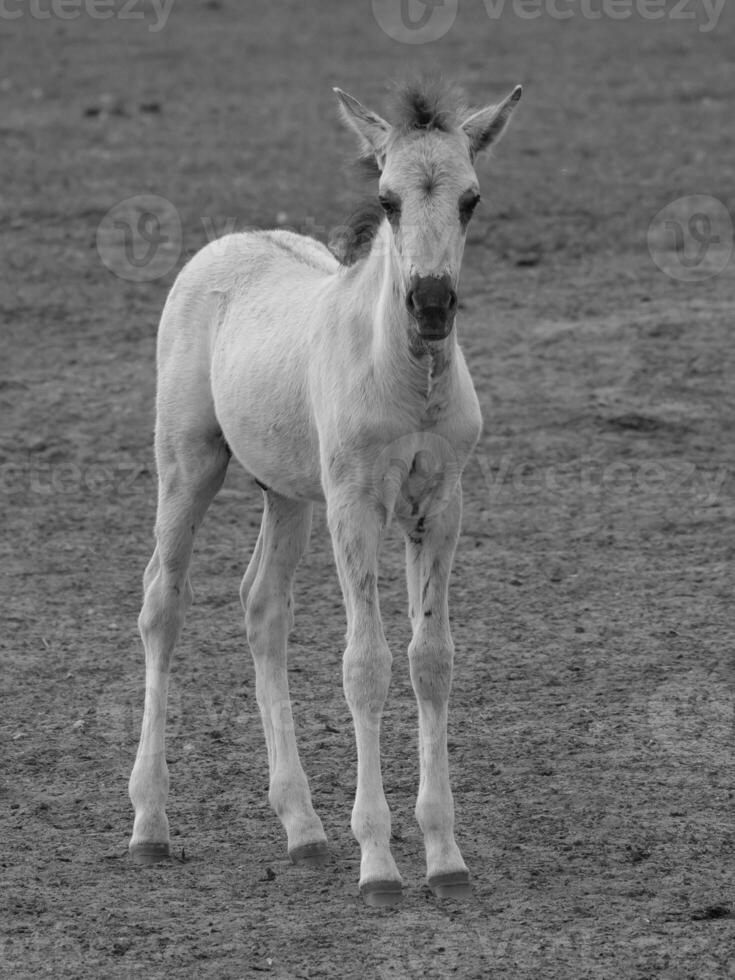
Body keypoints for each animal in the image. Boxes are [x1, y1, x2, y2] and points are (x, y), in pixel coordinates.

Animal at [131, 76, 524, 904]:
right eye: (386, 198)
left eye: (470, 199)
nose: (430, 305)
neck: (407, 380)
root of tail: (226, 243)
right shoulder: (355, 507)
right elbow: (364, 666)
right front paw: (378, 864)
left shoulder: (439, 508)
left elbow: (429, 660)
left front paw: (444, 858)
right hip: (188, 463)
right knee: (162, 602)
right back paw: (149, 823)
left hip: (286, 494)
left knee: (261, 606)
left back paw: (303, 828)